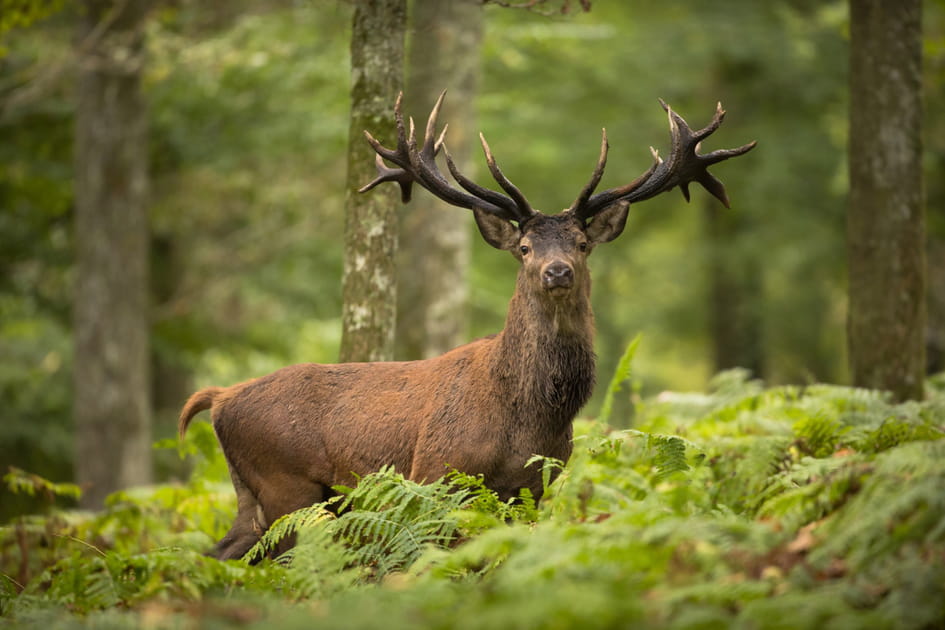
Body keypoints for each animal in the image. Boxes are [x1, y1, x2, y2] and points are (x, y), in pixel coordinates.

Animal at [177, 91, 752, 560]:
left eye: (582, 243)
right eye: (525, 247)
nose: (557, 271)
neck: (530, 414)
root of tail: (221, 397)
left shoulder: (535, 487)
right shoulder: (437, 473)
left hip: (255, 493)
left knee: (220, 553)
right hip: (286, 483)